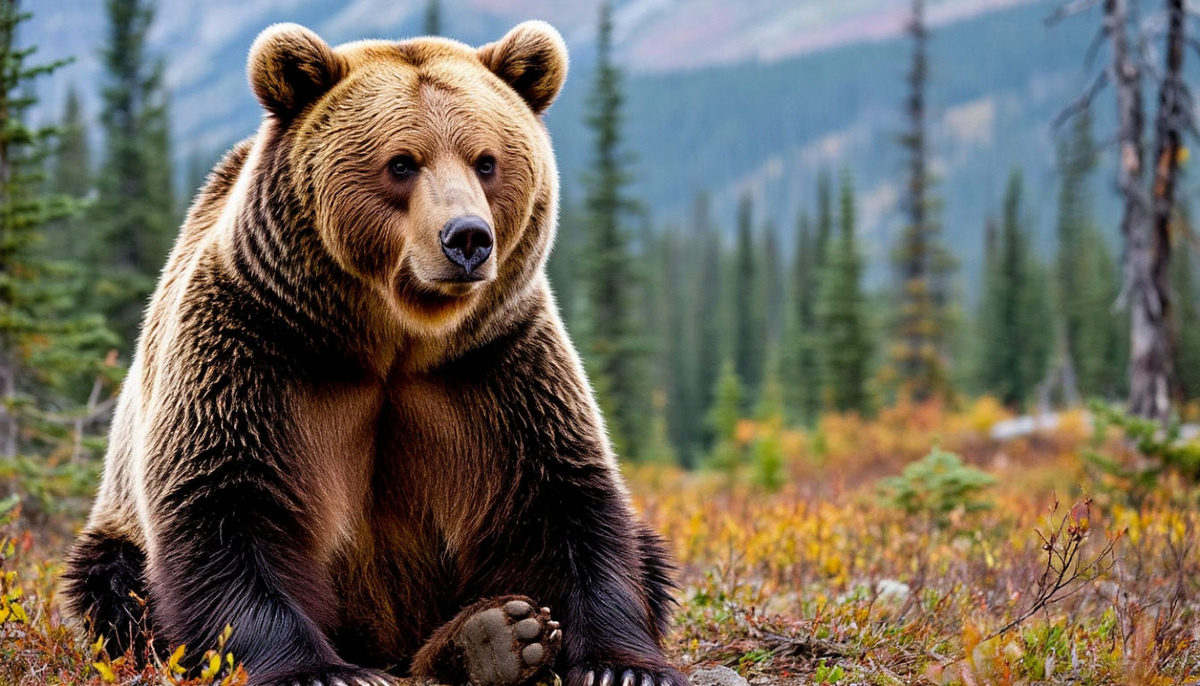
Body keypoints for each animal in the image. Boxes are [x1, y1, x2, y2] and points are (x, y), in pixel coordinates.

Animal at [61, 20, 685, 686]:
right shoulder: (254, 346)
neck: (393, 341)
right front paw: (321, 669)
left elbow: (561, 501)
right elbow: (227, 503)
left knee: (647, 551)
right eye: (402, 163)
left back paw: (495, 636)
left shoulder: (495, 366)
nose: (467, 238)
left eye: (486, 161)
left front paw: (621, 665)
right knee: (112, 582)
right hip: (115, 531)